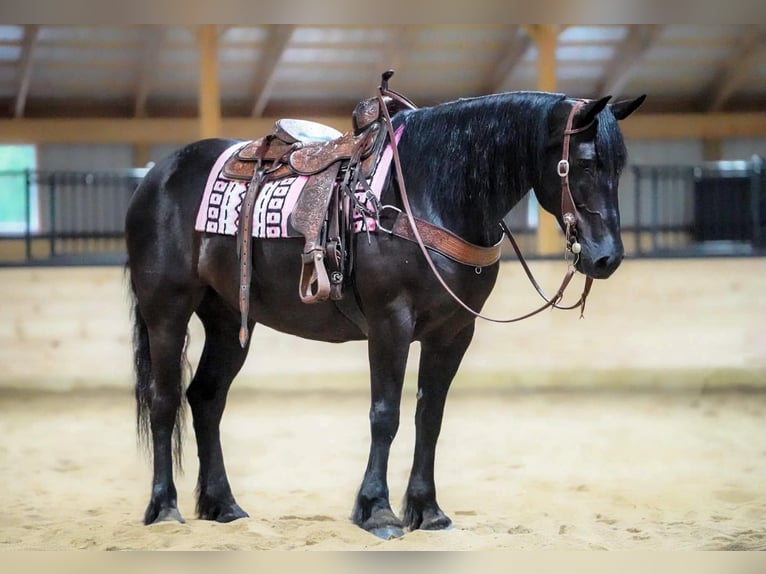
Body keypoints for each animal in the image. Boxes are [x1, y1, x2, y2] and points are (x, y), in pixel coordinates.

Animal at [124, 84, 645, 539]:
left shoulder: (453, 332)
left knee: (206, 399)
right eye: (584, 162)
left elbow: (429, 417)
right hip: (166, 312)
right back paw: (164, 508)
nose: (607, 257)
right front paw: (376, 510)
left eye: (619, 166)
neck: (429, 192)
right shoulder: (389, 323)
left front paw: (428, 511)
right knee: (164, 400)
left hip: (229, 319)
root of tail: (158, 176)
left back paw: (223, 506)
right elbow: (385, 414)